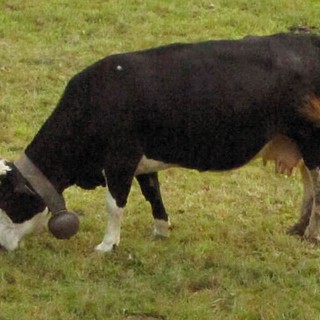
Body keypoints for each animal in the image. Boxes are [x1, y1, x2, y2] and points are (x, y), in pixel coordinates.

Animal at [0, 33, 320, 252]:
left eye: (9, 202)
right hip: (300, 145)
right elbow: (152, 192)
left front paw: (107, 245)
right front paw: (161, 230)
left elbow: (114, 204)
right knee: (309, 186)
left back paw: (311, 234)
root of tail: (306, 38)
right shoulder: (142, 160)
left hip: (312, 142)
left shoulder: (120, 159)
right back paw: (298, 228)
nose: (2, 247)